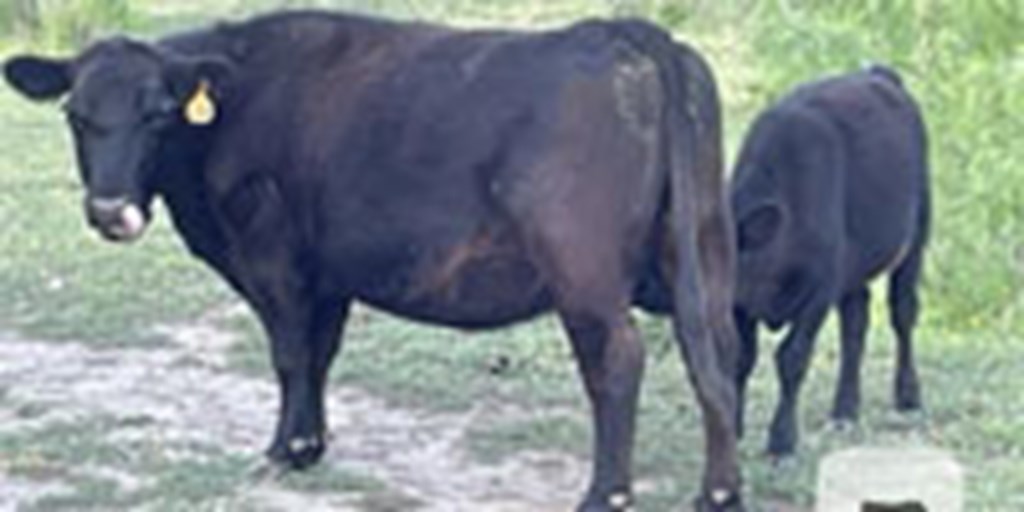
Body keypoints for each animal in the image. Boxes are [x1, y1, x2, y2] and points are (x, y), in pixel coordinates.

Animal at [6, 9, 745, 512]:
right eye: (75, 115)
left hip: (583, 270)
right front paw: (311, 446)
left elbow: (290, 354)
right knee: (716, 356)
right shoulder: (330, 272)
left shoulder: (274, 258)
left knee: (617, 360)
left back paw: (606, 494)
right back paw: (719, 492)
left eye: (159, 114)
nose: (110, 210)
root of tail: (621, 31)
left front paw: (283, 452)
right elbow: (320, 355)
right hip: (704, 251)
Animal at [733, 67, 933, 456]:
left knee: (903, 313)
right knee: (856, 322)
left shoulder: (820, 289)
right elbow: (740, 358)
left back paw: (908, 395)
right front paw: (731, 431)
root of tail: (878, 73)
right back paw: (845, 409)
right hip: (854, 270)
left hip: (916, 236)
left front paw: (782, 439)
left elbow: (792, 357)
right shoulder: (740, 305)